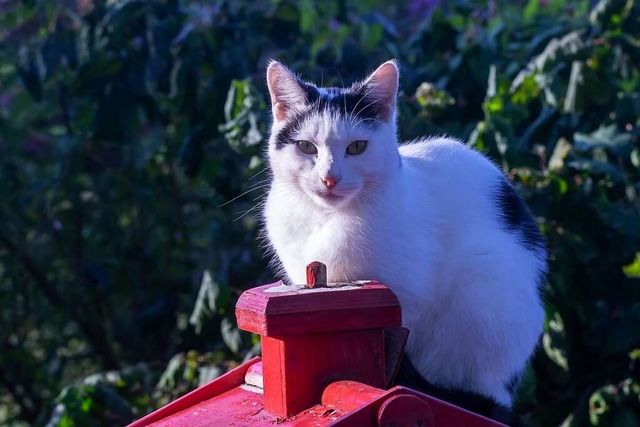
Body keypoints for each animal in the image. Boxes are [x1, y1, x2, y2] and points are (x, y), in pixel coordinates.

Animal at [260, 58, 544, 420]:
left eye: (357, 147)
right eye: (306, 147)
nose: (329, 178)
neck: (324, 218)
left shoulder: (408, 298)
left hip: (484, 291)